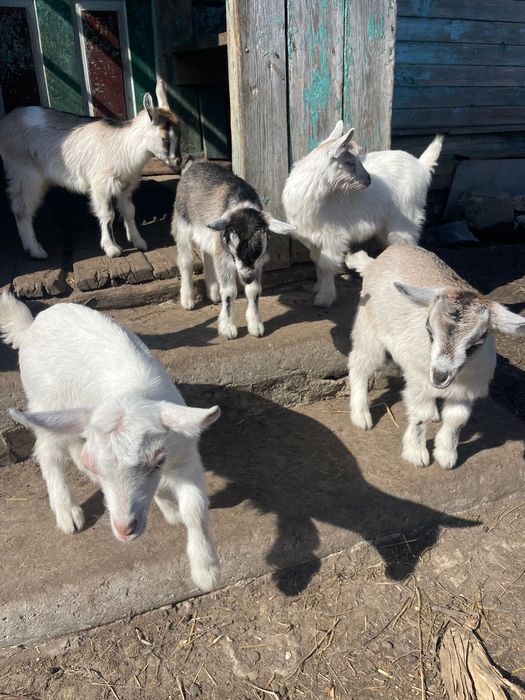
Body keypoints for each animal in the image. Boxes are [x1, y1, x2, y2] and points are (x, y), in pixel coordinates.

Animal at [0, 80, 181, 259]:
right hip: (25, 172)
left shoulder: (125, 185)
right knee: (22, 209)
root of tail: (6, 122)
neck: (124, 145)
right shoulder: (101, 185)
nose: (178, 162)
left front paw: (139, 242)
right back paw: (35, 250)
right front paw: (112, 249)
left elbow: (129, 211)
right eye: (165, 140)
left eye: (179, 136)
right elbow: (108, 215)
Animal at [0, 291, 220, 591]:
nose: (124, 529)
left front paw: (205, 569)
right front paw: (205, 569)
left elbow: (194, 509)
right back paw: (67, 512)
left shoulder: (184, 454)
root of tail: (31, 324)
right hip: (44, 401)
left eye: (157, 462)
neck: (133, 391)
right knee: (48, 452)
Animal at [172, 160, 296, 339]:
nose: (246, 278)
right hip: (182, 222)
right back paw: (188, 300)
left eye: (257, 252)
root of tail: (194, 164)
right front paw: (228, 328)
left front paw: (255, 325)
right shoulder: (225, 257)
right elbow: (229, 292)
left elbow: (254, 291)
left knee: (207, 253)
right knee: (185, 261)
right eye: (235, 252)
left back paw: (213, 293)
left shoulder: (257, 264)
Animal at [282, 121, 443, 308]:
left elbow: (326, 265)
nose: (369, 180)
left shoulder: (332, 236)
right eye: (350, 162)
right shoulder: (314, 237)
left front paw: (324, 297)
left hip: (406, 219)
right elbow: (316, 261)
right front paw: (317, 287)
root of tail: (421, 166)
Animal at [347, 245, 525, 470]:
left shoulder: (466, 389)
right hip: (369, 327)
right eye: (429, 331)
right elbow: (419, 415)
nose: (440, 375)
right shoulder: (420, 377)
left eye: (477, 344)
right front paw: (416, 454)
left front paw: (446, 456)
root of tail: (372, 263)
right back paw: (361, 416)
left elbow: (457, 419)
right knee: (360, 363)